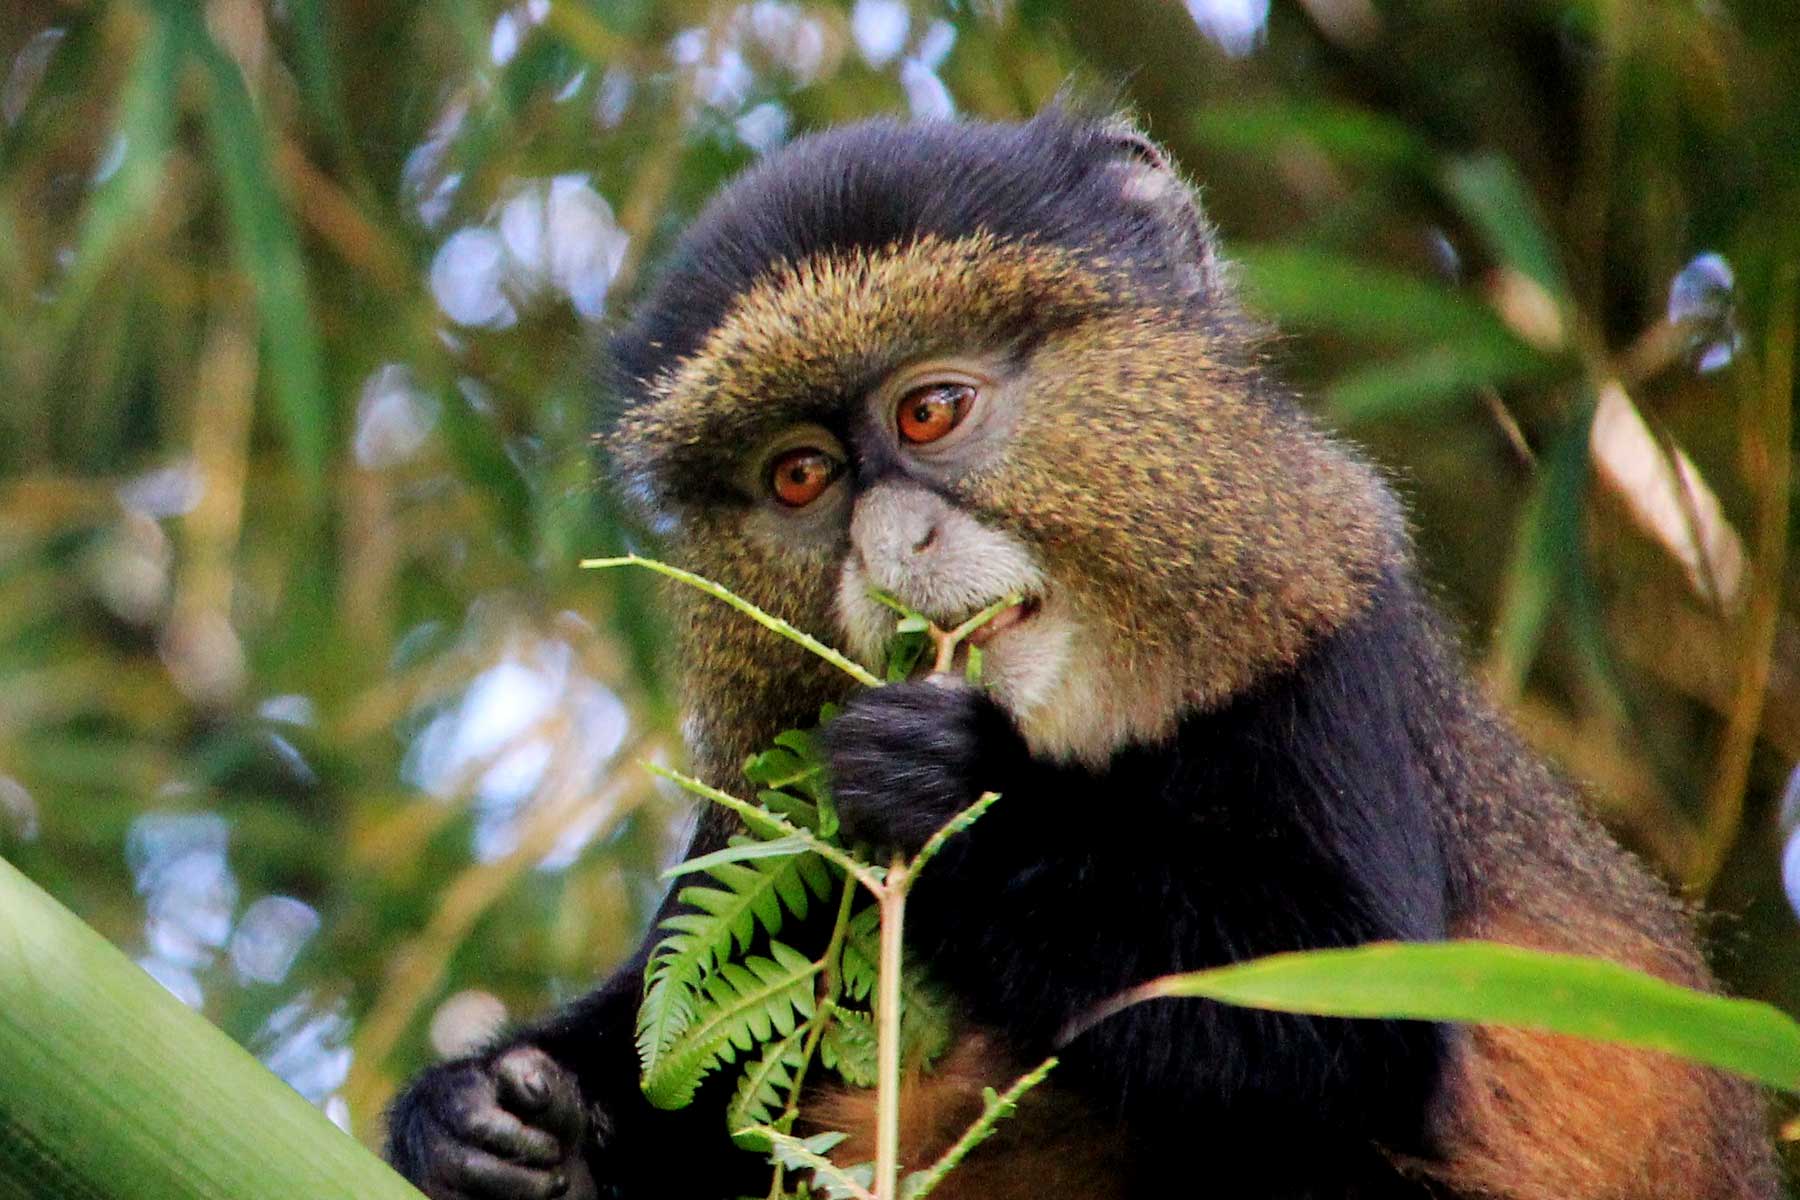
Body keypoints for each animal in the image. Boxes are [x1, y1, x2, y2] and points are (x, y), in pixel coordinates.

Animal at [383, 111, 1777, 1200]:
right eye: (799, 478)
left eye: (930, 411)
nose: (890, 545)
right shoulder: (759, 816)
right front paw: (482, 1123)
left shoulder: (1330, 649)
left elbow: (1351, 1026)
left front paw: (951, 788)